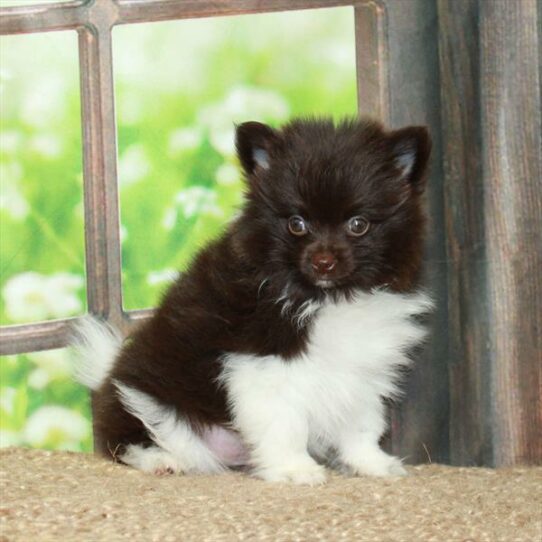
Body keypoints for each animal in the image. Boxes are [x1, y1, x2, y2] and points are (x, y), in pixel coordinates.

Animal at [74, 118, 436, 484]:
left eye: (358, 225)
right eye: (296, 224)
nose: (323, 262)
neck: (323, 296)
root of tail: (105, 379)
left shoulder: (362, 368)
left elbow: (361, 423)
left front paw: (371, 463)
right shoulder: (262, 365)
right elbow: (285, 423)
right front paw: (295, 469)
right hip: (150, 400)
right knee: (133, 437)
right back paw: (161, 459)